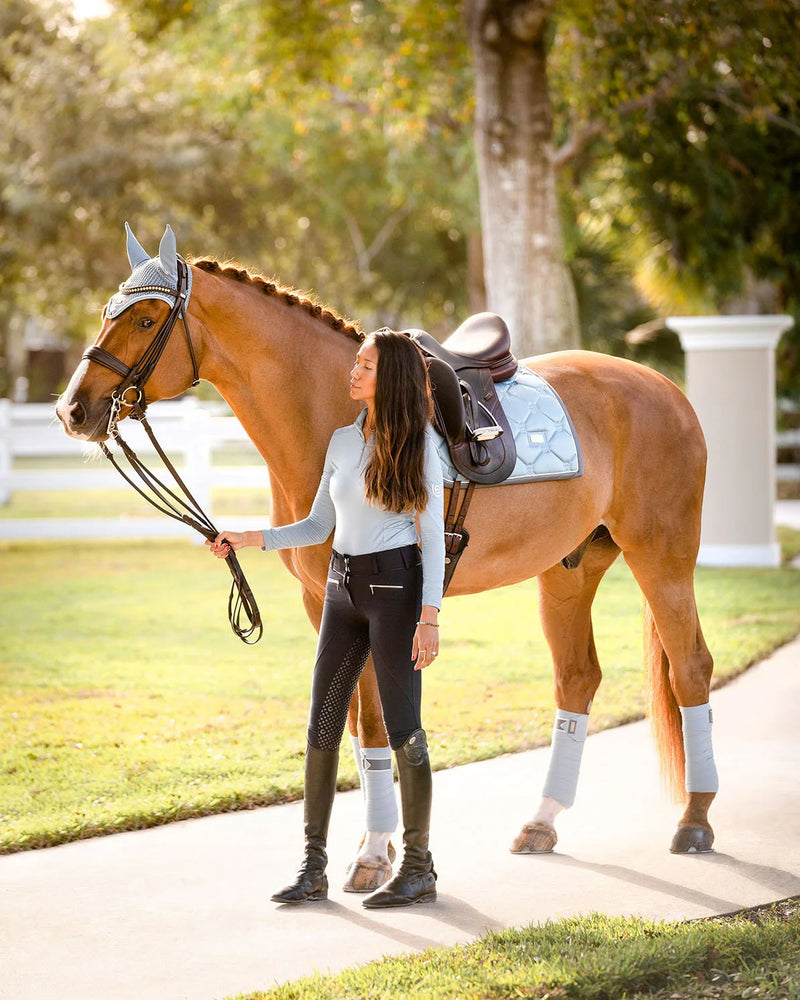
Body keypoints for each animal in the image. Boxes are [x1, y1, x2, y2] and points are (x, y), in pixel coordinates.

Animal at [57, 229, 720, 884]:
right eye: (107, 313)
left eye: (146, 320)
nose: (72, 410)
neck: (334, 411)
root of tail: (666, 388)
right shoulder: (324, 601)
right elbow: (349, 723)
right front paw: (367, 849)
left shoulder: (377, 603)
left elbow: (376, 722)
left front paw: (375, 856)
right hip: (569, 570)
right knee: (578, 678)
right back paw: (542, 822)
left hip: (662, 558)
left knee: (690, 668)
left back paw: (694, 821)